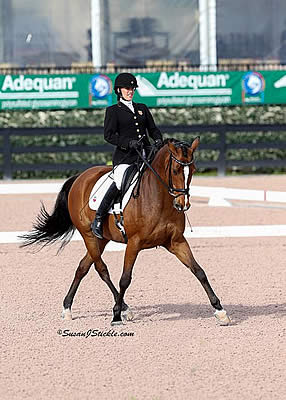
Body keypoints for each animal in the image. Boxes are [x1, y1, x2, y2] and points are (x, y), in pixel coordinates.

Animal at [20, 139, 230, 326]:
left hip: (101, 239)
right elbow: (125, 279)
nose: (182, 204)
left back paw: (67, 308)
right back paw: (123, 309)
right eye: (175, 170)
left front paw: (220, 311)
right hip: (88, 235)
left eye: (193, 170)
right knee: (101, 269)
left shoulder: (176, 241)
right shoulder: (134, 243)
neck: (159, 198)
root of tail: (80, 177)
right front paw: (116, 316)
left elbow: (199, 271)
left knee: (83, 267)